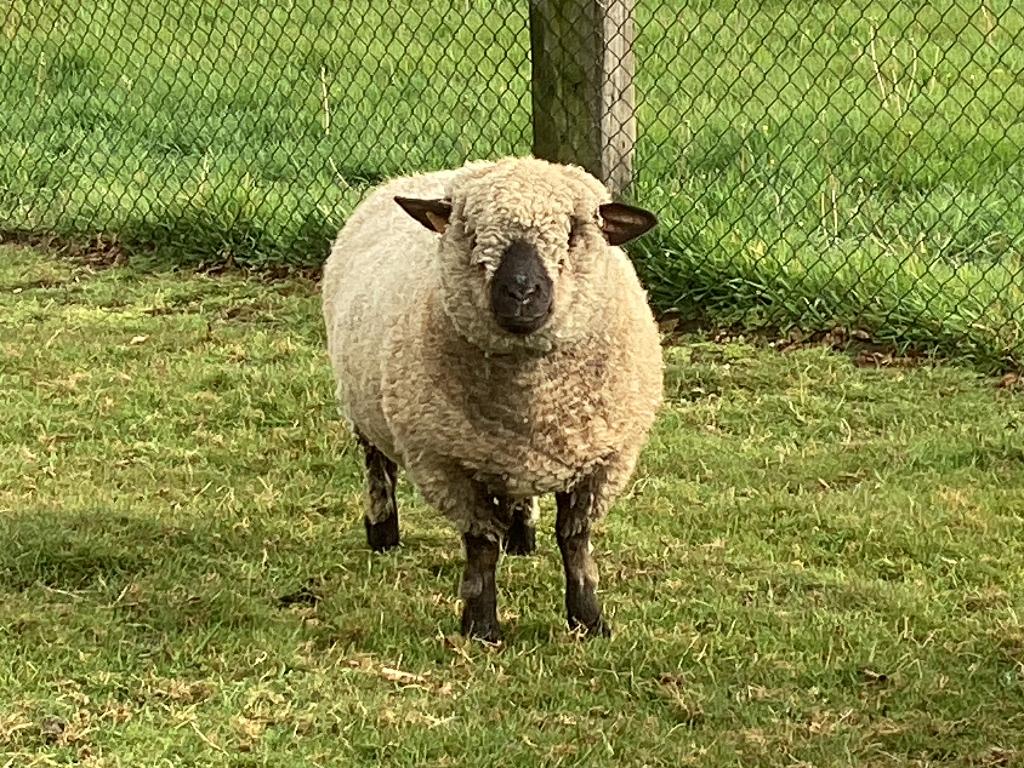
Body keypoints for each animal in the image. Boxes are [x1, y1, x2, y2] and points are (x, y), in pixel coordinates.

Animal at [321, 156, 663, 641]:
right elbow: (481, 545)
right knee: (378, 467)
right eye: (469, 232)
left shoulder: (603, 461)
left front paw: (589, 620)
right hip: (364, 409)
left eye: (575, 232)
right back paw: (382, 530)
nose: (520, 293)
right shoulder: (446, 464)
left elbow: (575, 541)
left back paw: (522, 534)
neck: (531, 401)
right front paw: (481, 625)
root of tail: (411, 178)